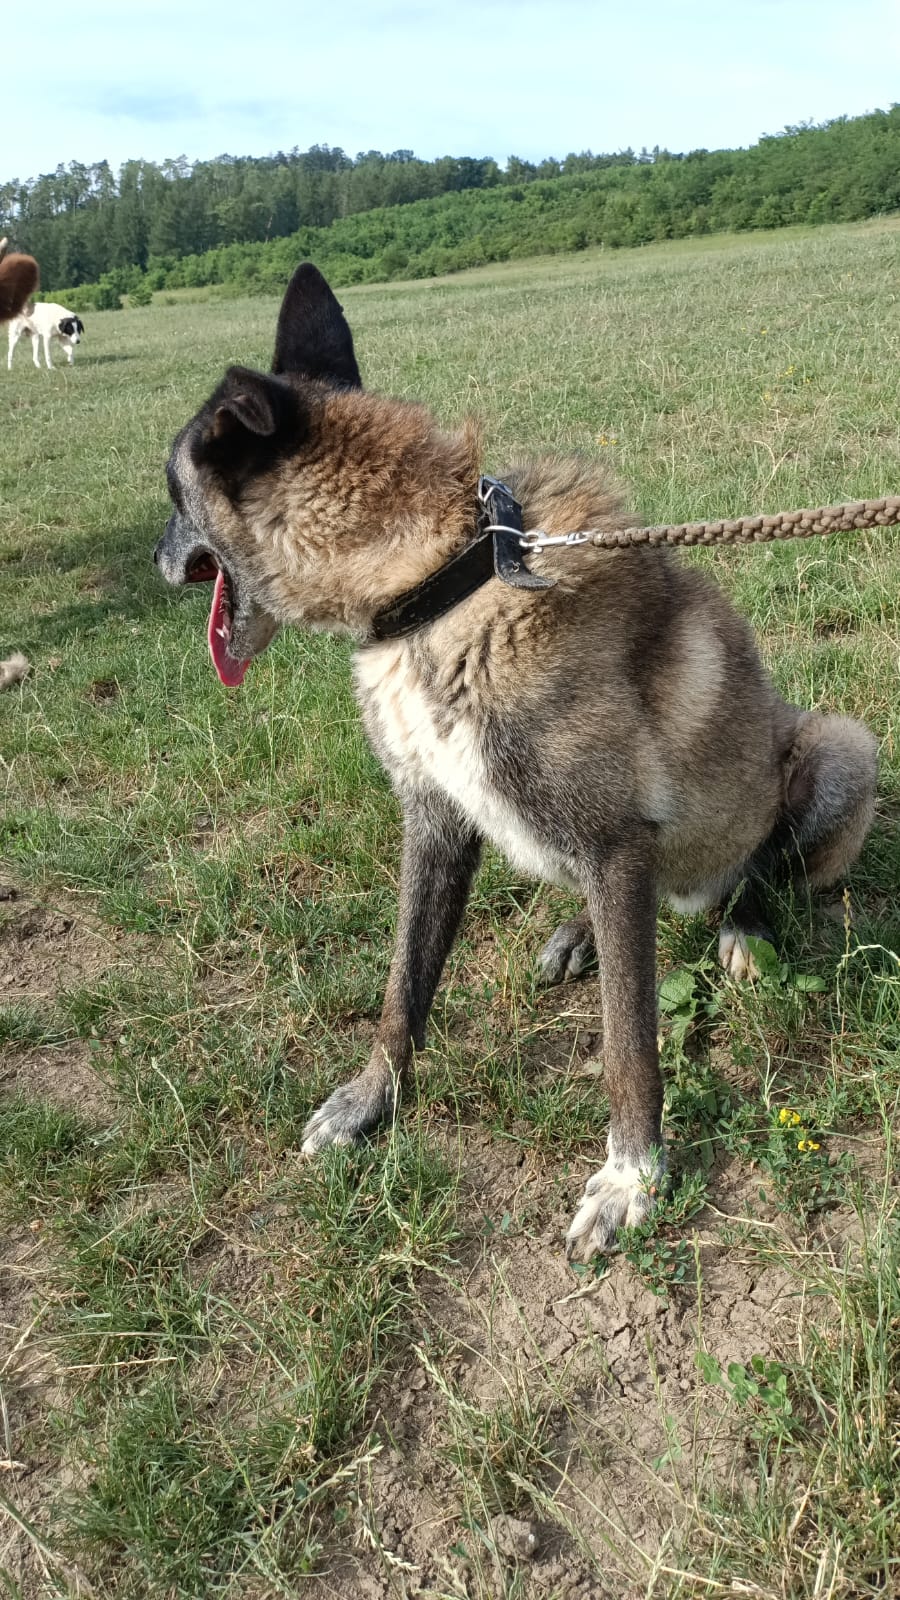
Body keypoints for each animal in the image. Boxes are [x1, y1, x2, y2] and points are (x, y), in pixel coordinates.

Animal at [155, 263, 878, 1260]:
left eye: (172, 492)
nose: (155, 559)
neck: (440, 582)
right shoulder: (439, 825)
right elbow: (403, 988)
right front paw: (370, 1102)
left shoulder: (614, 844)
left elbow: (628, 1048)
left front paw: (631, 1177)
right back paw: (580, 933)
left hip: (840, 748)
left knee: (757, 868)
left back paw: (742, 924)